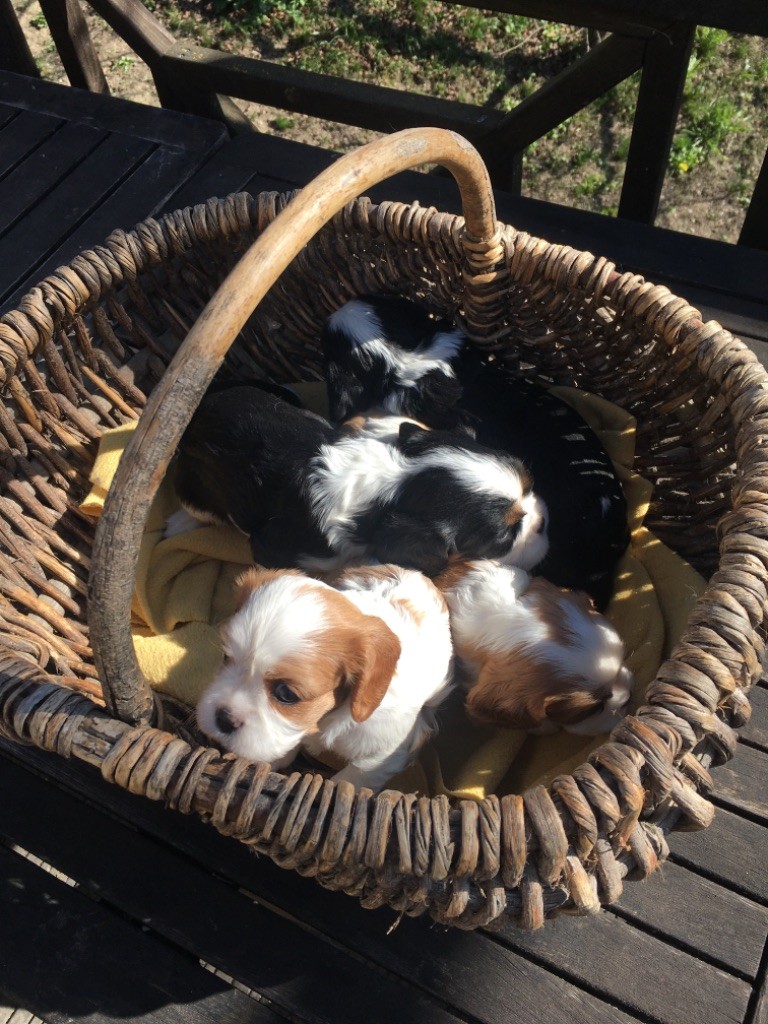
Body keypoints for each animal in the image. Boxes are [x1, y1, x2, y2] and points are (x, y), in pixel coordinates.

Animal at [167, 380, 548, 581]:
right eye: (505, 538)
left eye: (530, 485)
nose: (544, 521)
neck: (394, 486)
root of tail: (203, 402)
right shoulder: (271, 547)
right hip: (197, 487)